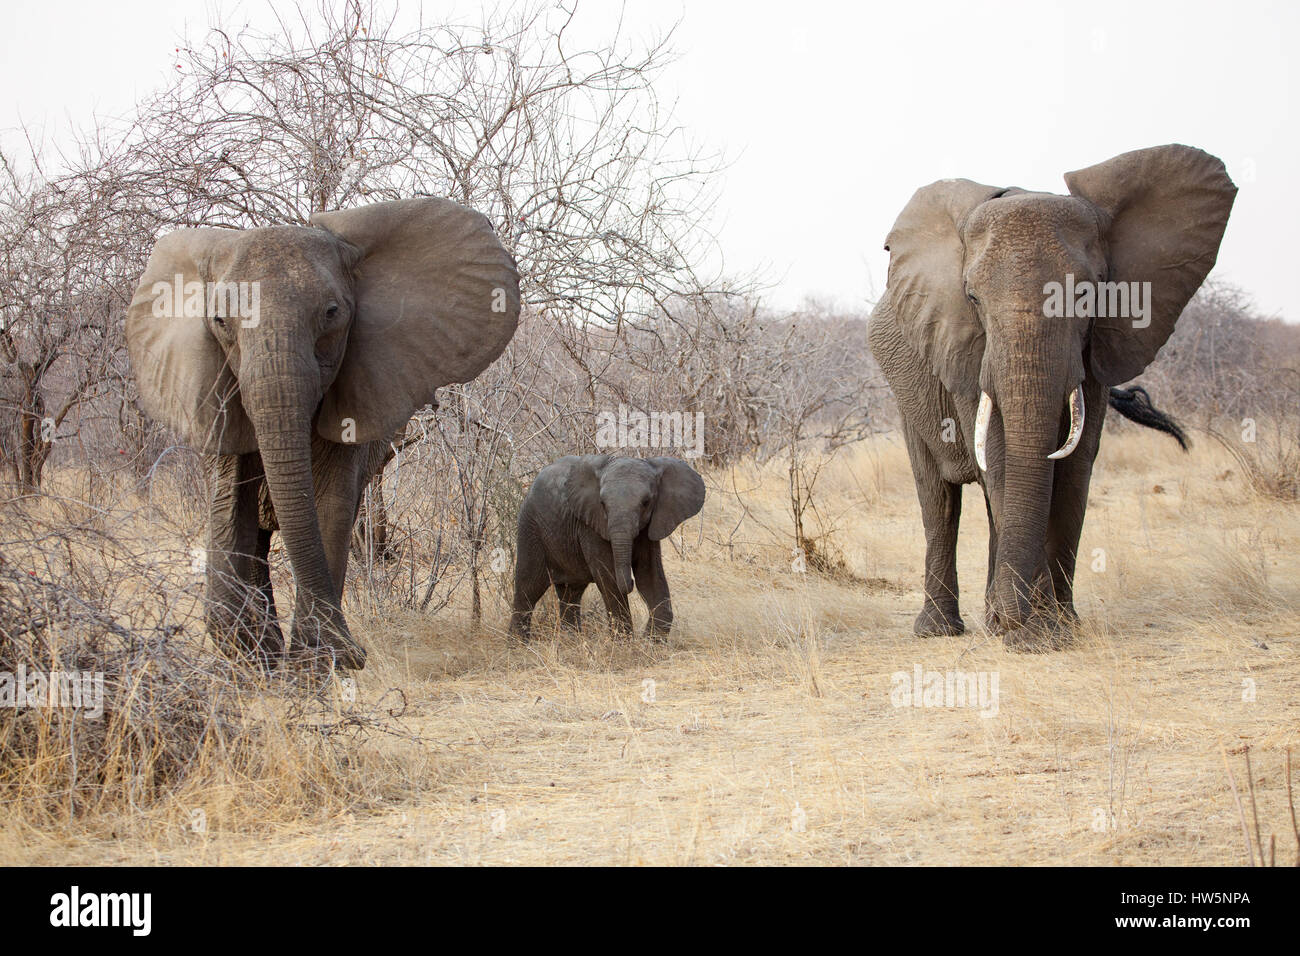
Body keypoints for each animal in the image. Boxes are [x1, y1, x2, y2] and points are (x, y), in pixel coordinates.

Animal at [126, 197, 520, 671]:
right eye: (219, 321)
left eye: (332, 314)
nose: (357, 654)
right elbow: (229, 502)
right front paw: (261, 659)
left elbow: (330, 500)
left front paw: (316, 662)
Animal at [512, 455, 707, 642]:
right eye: (602, 504)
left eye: (646, 502)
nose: (630, 582)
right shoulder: (590, 525)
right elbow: (608, 577)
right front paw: (625, 646)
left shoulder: (650, 527)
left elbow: (649, 576)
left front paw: (650, 644)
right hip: (530, 527)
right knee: (528, 589)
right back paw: (518, 646)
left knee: (570, 593)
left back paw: (571, 643)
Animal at [868, 143, 1232, 650]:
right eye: (972, 299)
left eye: (1086, 296)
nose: (1016, 620)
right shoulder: (965, 350)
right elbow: (1000, 456)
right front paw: (1034, 633)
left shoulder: (1096, 350)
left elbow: (1077, 465)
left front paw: (1053, 628)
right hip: (906, 389)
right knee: (939, 498)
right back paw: (940, 630)